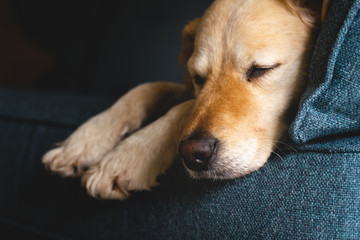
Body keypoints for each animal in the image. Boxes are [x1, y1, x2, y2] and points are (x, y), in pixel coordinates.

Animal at [42, 0, 330, 199]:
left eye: (261, 69)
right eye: (198, 77)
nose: (194, 155)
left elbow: (185, 106)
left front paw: (125, 157)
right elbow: (147, 87)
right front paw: (85, 141)